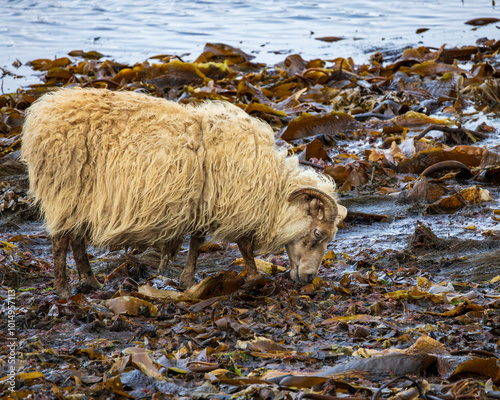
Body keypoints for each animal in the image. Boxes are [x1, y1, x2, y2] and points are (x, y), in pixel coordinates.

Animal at [21, 89, 346, 298]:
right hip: (66, 189)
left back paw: (91, 283)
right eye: (318, 233)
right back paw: (64, 290)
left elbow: (197, 242)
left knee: (75, 240)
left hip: (78, 198)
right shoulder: (234, 203)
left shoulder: (205, 204)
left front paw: (187, 278)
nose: (309, 278)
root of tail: (40, 116)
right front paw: (254, 277)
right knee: (61, 242)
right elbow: (243, 246)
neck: (272, 186)